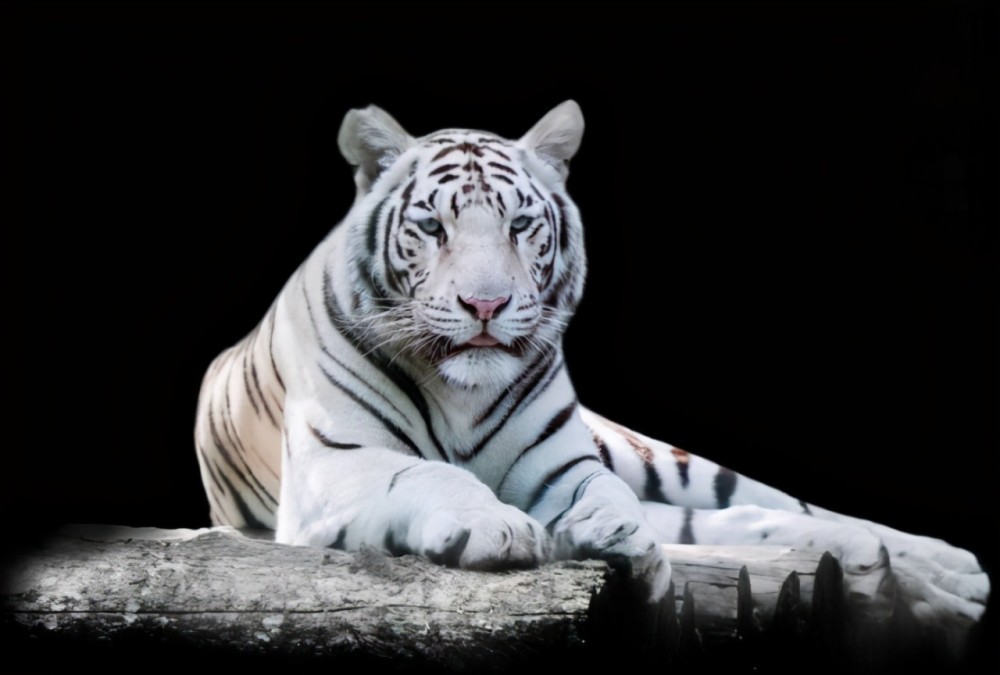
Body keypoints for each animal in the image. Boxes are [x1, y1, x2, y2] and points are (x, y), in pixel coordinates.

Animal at [194, 100, 988, 633]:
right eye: (432, 227)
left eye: (519, 224)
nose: (486, 304)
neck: (461, 395)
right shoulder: (334, 466)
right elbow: (427, 473)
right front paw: (500, 527)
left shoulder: (565, 465)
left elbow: (605, 496)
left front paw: (622, 541)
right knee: (749, 520)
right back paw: (892, 572)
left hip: (657, 456)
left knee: (780, 505)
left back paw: (947, 572)